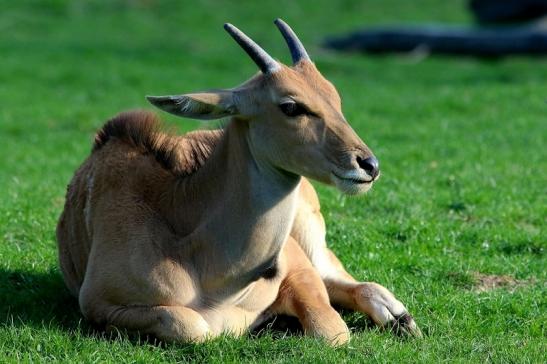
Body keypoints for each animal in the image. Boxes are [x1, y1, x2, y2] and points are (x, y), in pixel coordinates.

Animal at [57, 18, 422, 346]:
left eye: (334, 98)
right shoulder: (98, 303)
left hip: (312, 241)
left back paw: (398, 316)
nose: (369, 165)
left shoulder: (298, 266)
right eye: (290, 106)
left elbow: (332, 330)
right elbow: (191, 326)